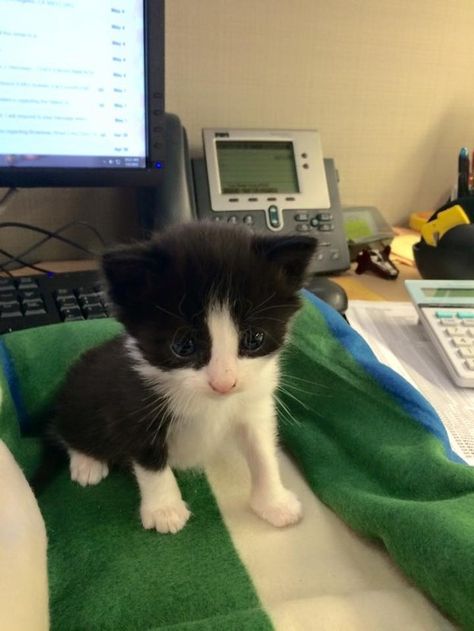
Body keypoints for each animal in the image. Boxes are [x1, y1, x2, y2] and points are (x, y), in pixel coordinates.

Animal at [53, 222, 316, 532]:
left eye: (254, 338)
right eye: (183, 345)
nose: (224, 383)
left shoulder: (255, 402)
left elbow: (262, 450)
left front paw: (275, 503)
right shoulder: (134, 404)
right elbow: (151, 461)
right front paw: (165, 510)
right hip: (81, 399)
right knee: (65, 429)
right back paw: (87, 463)